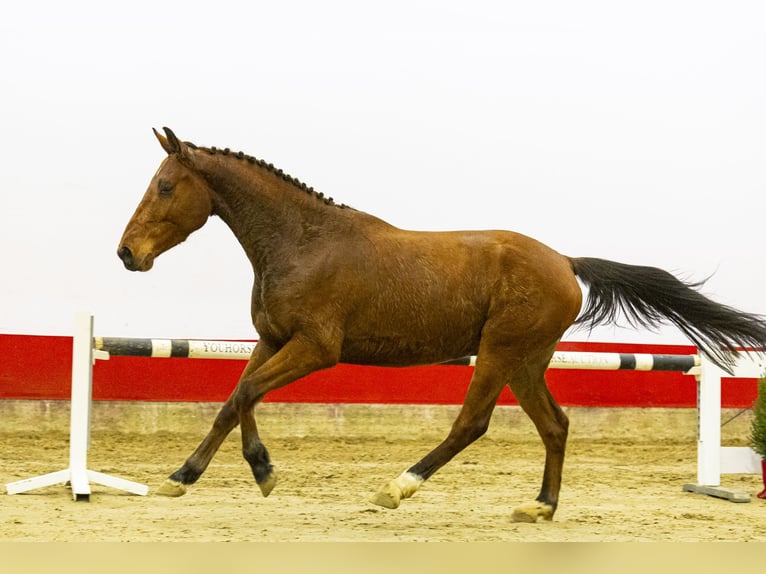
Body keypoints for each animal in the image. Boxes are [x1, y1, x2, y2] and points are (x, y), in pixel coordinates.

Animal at [117, 127, 766, 522]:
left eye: (166, 186)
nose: (127, 254)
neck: (302, 243)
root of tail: (565, 261)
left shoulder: (316, 348)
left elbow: (247, 392)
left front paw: (263, 471)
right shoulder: (274, 340)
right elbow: (233, 399)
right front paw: (184, 476)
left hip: (500, 351)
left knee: (472, 424)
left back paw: (397, 487)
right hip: (526, 360)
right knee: (555, 426)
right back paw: (541, 507)